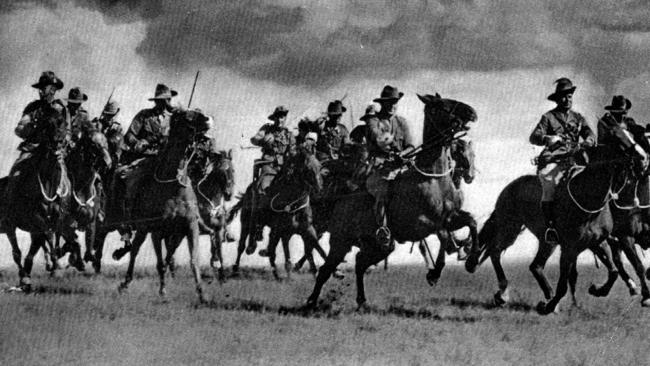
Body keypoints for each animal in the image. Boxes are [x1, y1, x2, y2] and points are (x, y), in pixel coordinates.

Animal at [95, 108, 211, 304]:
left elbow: (192, 260)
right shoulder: (157, 230)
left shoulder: (189, 227)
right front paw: (163, 291)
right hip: (120, 221)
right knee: (111, 237)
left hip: (146, 230)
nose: (209, 119)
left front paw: (202, 294)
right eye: (186, 116)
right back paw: (101, 266)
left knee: (136, 249)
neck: (173, 186)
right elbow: (160, 263)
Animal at [228, 144, 324, 278]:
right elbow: (286, 258)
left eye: (320, 167)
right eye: (308, 169)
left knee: (272, 251)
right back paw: (236, 268)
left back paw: (276, 275)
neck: (294, 203)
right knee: (242, 246)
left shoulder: (308, 230)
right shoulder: (283, 232)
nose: (319, 190)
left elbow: (317, 249)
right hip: (246, 223)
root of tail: (247, 193)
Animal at [304, 92, 476, 308]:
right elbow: (443, 235)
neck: (433, 179)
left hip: (380, 247)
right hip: (341, 242)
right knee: (326, 270)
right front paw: (434, 274)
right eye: (442, 105)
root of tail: (339, 204)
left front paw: (470, 261)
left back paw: (361, 301)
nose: (472, 112)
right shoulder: (420, 225)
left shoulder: (451, 217)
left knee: (360, 263)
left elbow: (471, 221)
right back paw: (311, 301)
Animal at [464, 136, 644, 314]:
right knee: (497, 252)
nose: (642, 159)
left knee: (534, 266)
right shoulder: (569, 248)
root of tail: (509, 188)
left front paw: (597, 290)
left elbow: (613, 272)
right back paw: (506, 293)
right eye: (622, 141)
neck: (587, 198)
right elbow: (563, 285)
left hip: (544, 241)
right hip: (510, 229)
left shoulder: (597, 242)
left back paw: (540, 295)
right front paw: (547, 307)